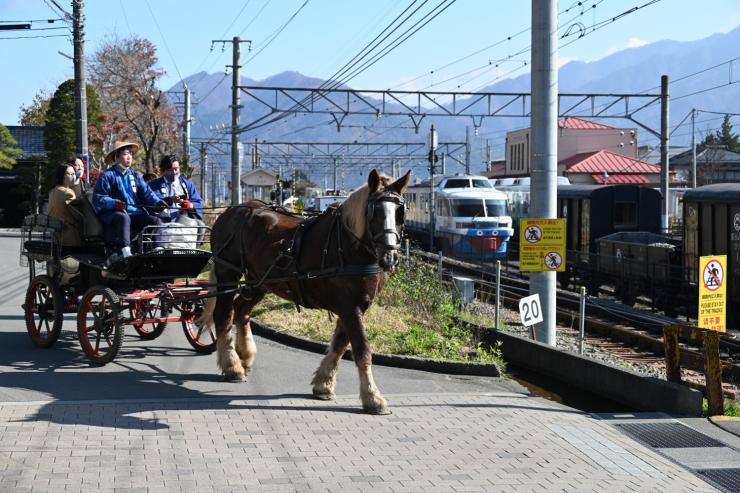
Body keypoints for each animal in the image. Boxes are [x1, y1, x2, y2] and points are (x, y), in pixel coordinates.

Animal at [197, 168, 414, 412]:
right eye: (374, 211)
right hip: (228, 273)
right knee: (224, 315)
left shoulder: (355, 306)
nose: (390, 257)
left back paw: (245, 356)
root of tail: (233, 210)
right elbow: (361, 350)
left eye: (400, 211)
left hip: (260, 281)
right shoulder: (350, 306)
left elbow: (340, 344)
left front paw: (324, 384)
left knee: (241, 310)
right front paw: (373, 397)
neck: (348, 245)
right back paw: (232, 366)